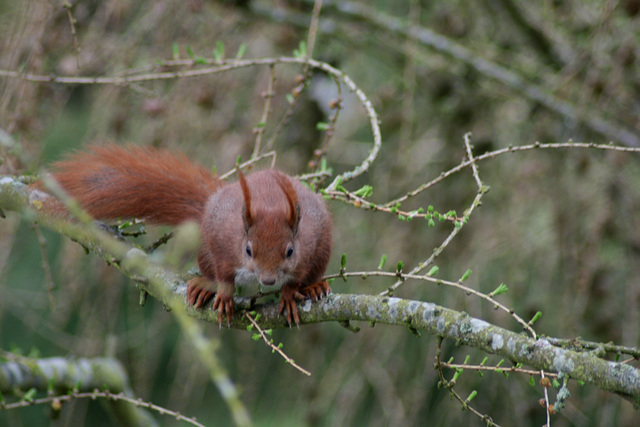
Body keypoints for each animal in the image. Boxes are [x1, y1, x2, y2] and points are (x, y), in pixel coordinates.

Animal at [44, 145, 332, 326]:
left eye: (290, 251)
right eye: (248, 250)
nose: (269, 280)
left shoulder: (307, 248)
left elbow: (295, 278)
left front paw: (289, 294)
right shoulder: (223, 243)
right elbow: (224, 274)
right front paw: (224, 294)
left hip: (324, 249)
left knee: (315, 273)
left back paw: (315, 287)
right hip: (204, 247)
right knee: (210, 269)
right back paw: (205, 286)